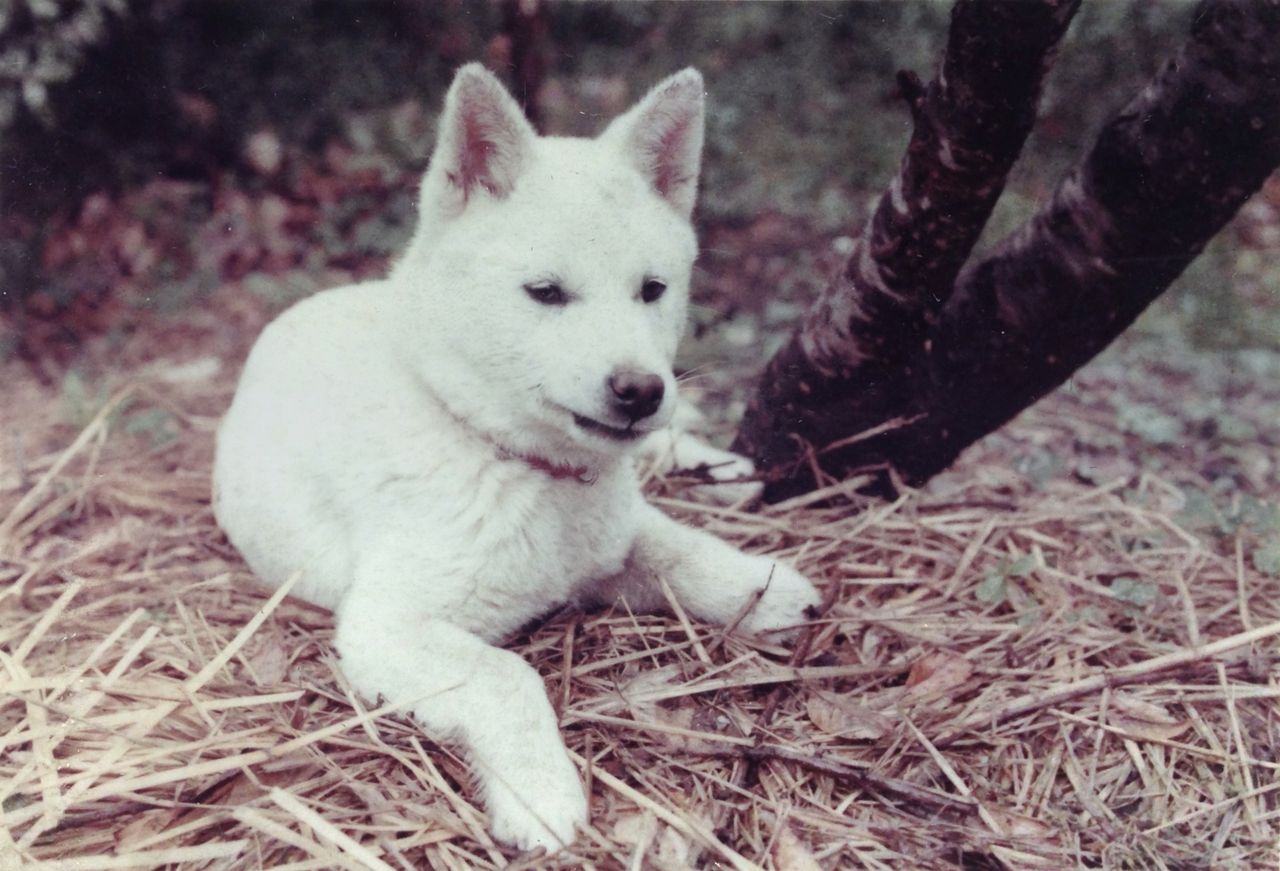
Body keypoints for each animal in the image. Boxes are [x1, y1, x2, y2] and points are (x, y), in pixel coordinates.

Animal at [213, 63, 820, 852]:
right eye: (546, 293)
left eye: (653, 290)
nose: (640, 391)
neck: (507, 455)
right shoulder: (386, 624)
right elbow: (507, 677)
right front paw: (540, 795)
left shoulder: (615, 533)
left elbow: (682, 549)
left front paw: (762, 585)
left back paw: (716, 467)